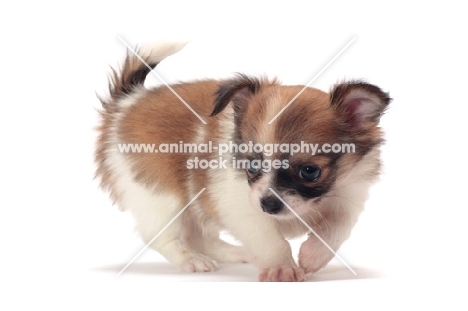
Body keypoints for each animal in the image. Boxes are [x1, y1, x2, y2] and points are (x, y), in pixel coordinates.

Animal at [93, 42, 390, 282]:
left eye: (309, 171)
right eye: (252, 165)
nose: (269, 205)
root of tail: (129, 102)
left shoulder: (348, 194)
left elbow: (337, 229)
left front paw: (312, 257)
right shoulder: (239, 205)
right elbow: (269, 238)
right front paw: (281, 267)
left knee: (200, 235)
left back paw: (233, 253)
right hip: (162, 197)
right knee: (162, 236)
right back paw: (191, 260)